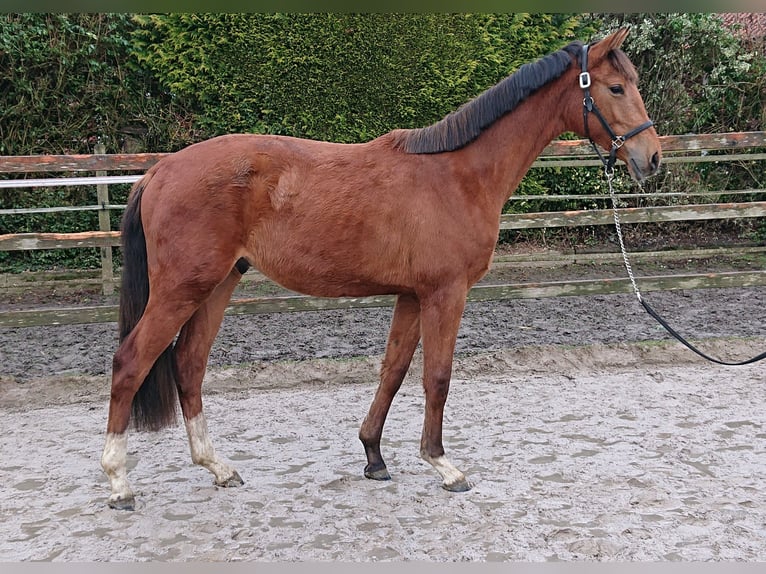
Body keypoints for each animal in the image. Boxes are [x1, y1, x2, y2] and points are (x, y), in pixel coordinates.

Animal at [105, 29, 664, 510]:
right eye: (616, 87)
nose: (652, 157)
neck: (458, 174)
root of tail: (160, 170)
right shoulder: (445, 293)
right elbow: (437, 376)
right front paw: (443, 466)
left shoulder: (412, 295)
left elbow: (393, 372)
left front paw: (373, 456)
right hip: (183, 288)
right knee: (130, 362)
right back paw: (118, 482)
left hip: (217, 284)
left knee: (189, 365)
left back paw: (217, 467)